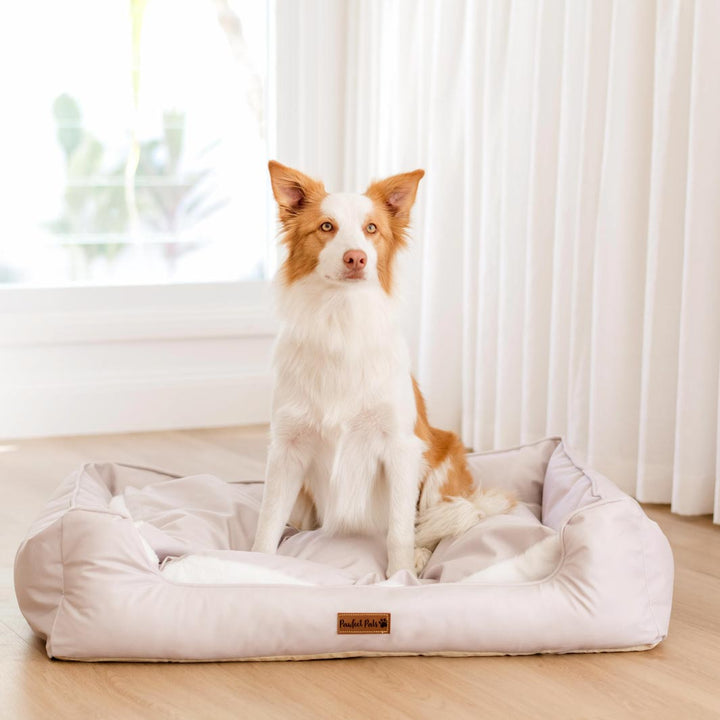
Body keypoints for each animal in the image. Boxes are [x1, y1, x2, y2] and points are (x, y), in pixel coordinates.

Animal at [250, 160, 516, 576]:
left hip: (443, 458)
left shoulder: (401, 448)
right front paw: (256, 563)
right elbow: (268, 519)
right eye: (326, 226)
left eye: (372, 228)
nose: (356, 258)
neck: (341, 321)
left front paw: (401, 576)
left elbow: (400, 529)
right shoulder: (287, 447)